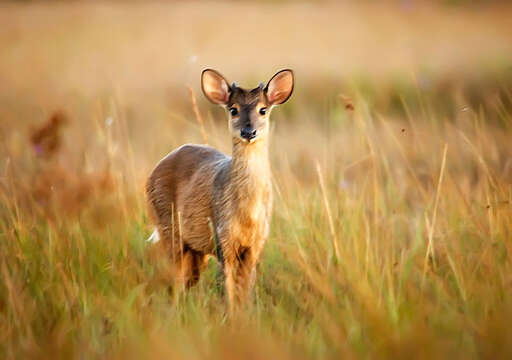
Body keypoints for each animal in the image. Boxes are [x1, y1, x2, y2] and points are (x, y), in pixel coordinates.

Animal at [146, 68, 294, 310]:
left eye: (262, 110)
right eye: (233, 110)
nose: (248, 131)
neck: (247, 215)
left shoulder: (255, 244)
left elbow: (245, 290)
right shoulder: (222, 238)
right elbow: (227, 289)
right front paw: (230, 315)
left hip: (195, 249)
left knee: (186, 281)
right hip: (168, 226)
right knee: (172, 280)